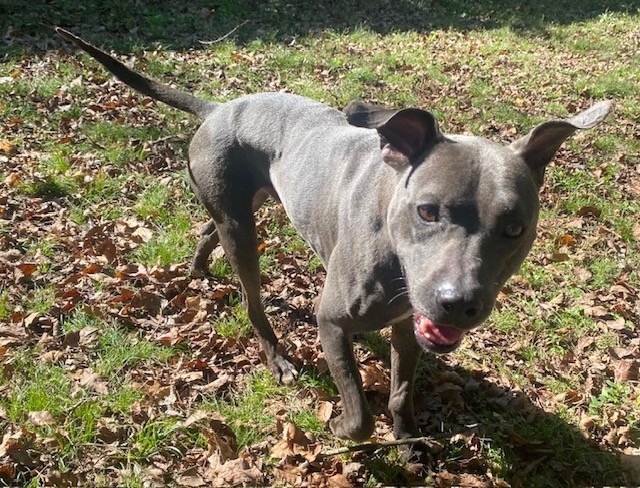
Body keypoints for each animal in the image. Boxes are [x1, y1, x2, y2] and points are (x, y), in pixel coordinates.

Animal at [55, 28, 608, 444]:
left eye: (515, 228)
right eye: (427, 211)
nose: (459, 304)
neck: (391, 245)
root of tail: (216, 108)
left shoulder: (408, 328)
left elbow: (401, 391)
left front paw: (408, 441)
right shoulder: (332, 323)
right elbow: (360, 409)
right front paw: (344, 428)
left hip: (246, 204)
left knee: (210, 227)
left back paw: (197, 269)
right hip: (245, 232)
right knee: (252, 300)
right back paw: (276, 356)